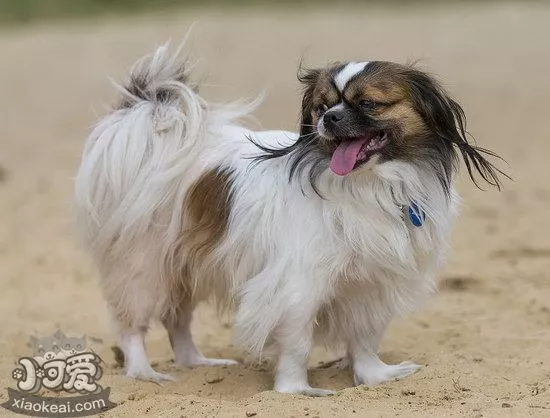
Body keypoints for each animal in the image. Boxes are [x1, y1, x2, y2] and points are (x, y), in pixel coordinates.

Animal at [75, 44, 506, 396]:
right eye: (322, 106)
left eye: (368, 104)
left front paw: (375, 377)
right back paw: (144, 372)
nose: (330, 118)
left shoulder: (373, 283)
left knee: (177, 320)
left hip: (183, 267)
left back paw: (196, 363)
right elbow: (297, 342)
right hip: (144, 267)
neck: (373, 185)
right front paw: (296, 390)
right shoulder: (298, 284)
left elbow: (365, 338)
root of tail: (159, 129)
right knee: (133, 324)